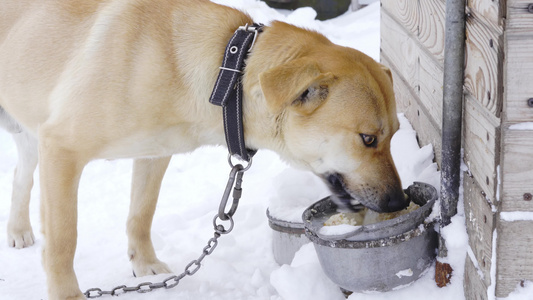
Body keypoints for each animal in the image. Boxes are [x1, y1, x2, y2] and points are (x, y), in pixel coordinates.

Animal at [0, 0, 406, 298]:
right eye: (368, 138)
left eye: (394, 134)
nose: (398, 201)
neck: (227, 76)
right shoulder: (62, 149)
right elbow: (63, 240)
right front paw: (67, 293)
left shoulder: (153, 155)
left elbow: (141, 214)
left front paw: (144, 265)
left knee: (22, 174)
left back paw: (18, 229)